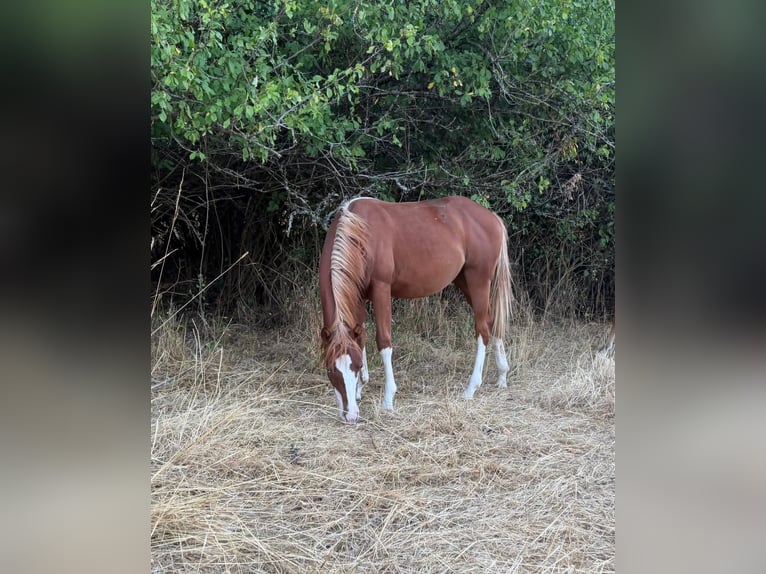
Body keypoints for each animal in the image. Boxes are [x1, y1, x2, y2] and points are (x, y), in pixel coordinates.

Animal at [319, 196, 513, 423]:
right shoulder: (357, 295)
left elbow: (384, 341)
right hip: (464, 281)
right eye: (330, 369)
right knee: (491, 322)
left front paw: (388, 400)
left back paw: (471, 388)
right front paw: (360, 389)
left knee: (482, 329)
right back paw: (502, 375)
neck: (360, 231)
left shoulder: (381, 289)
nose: (350, 415)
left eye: (354, 367)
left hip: (478, 280)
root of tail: (491, 217)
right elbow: (361, 339)